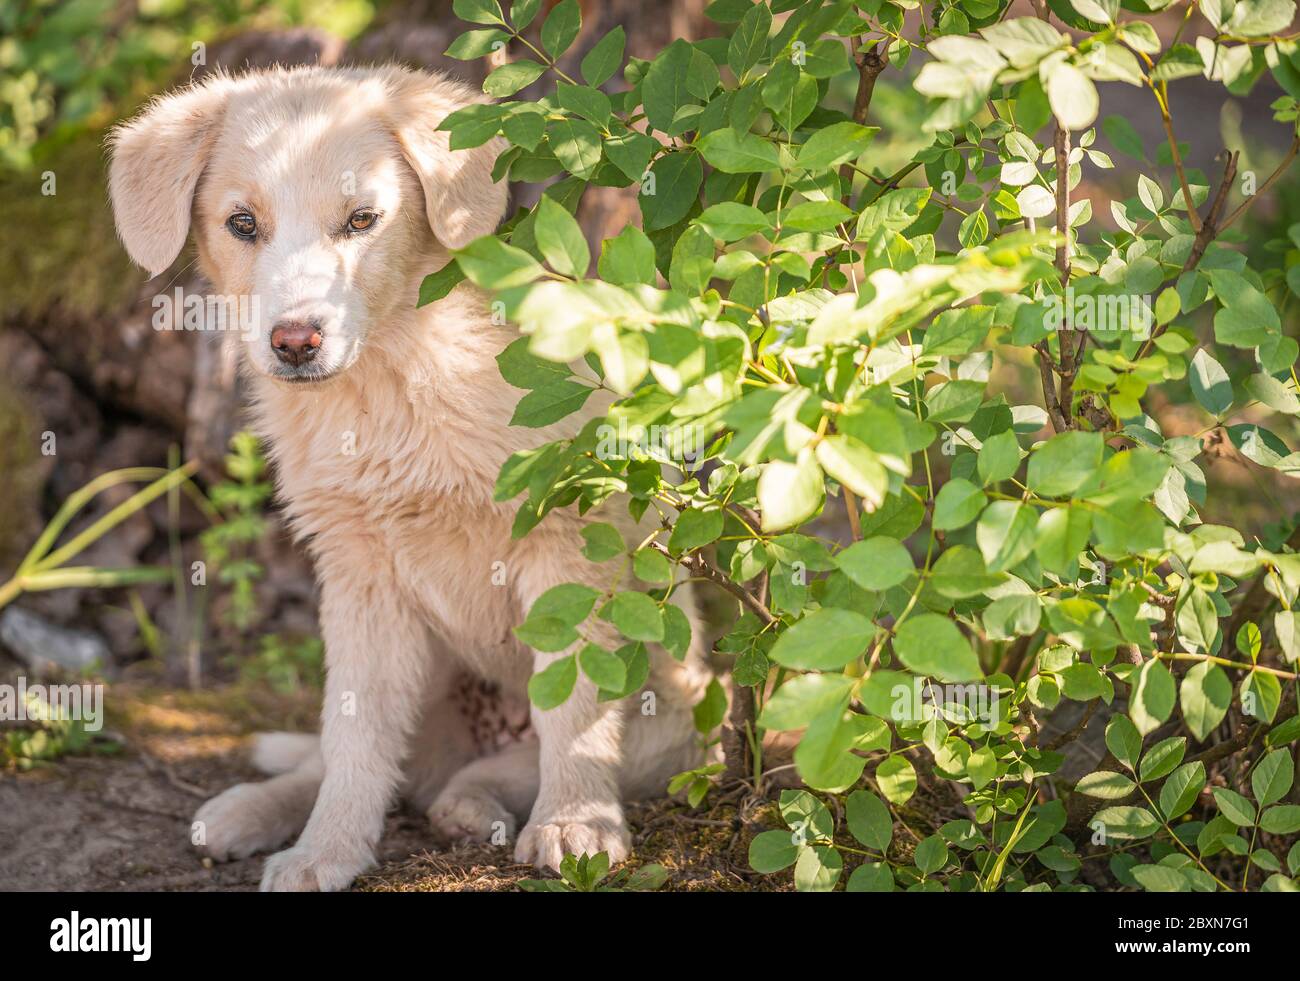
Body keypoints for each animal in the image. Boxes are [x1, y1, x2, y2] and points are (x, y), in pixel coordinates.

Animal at [109, 61, 712, 888]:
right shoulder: (359, 576)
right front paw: (326, 851)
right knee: (359, 757)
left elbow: (575, 708)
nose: (295, 342)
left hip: (672, 722)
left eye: (363, 219)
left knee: (500, 766)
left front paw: (575, 824)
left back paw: (481, 811)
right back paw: (251, 810)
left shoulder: (565, 540)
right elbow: (354, 737)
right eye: (243, 224)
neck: (388, 384)